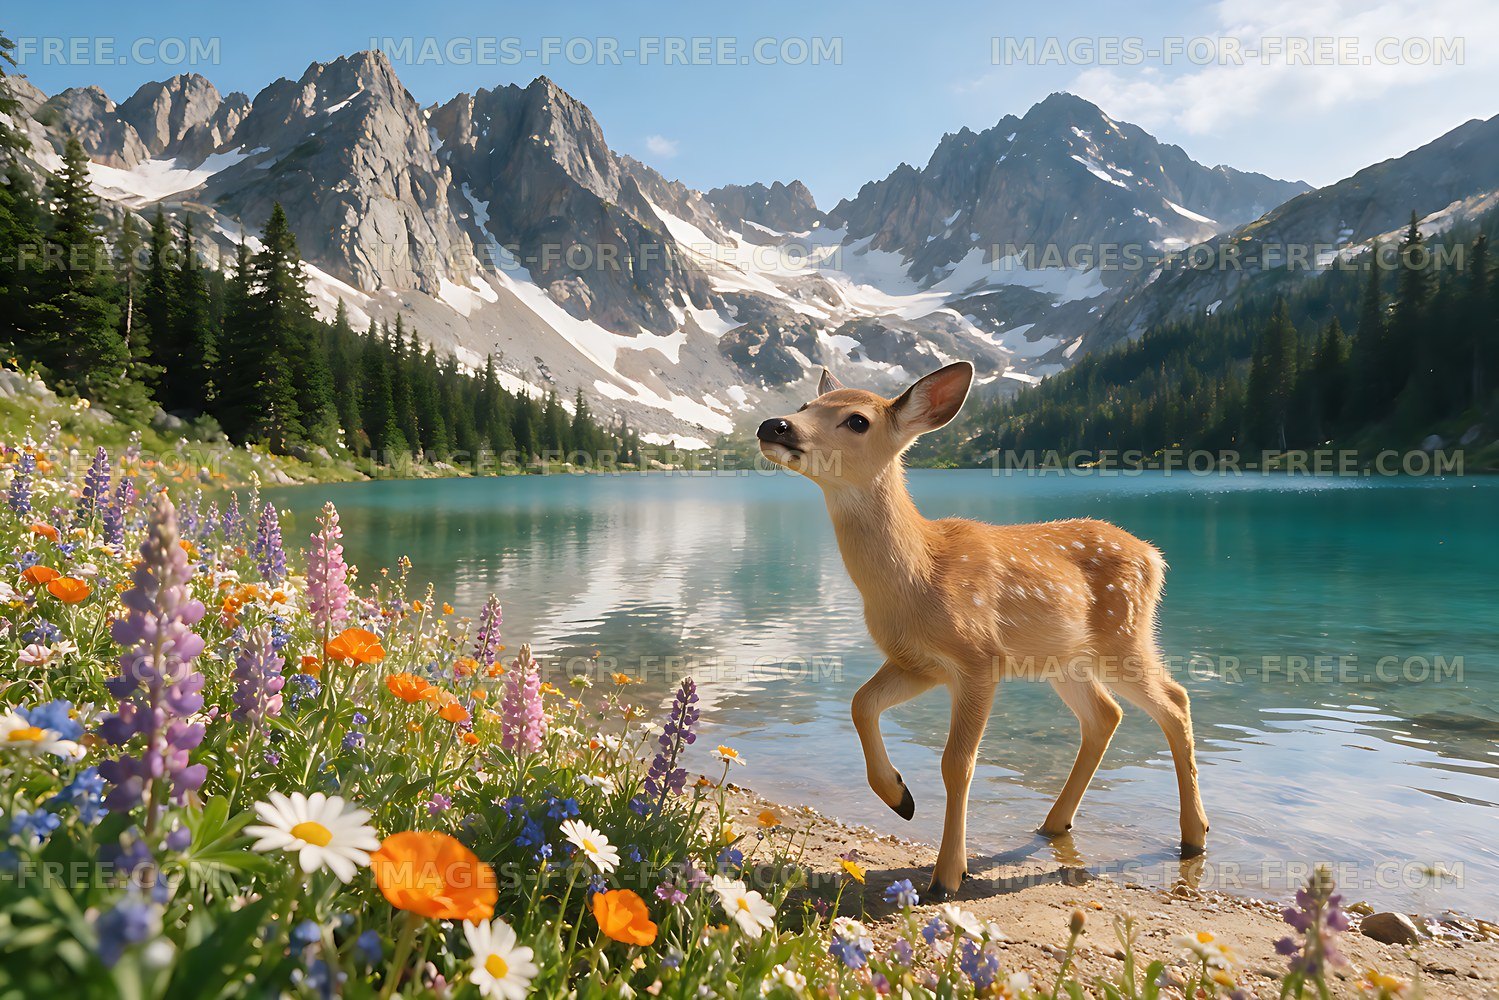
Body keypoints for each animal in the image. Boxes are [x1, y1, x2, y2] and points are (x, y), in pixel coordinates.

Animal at [756, 361, 1208, 900]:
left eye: (858, 420)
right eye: (806, 405)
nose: (774, 425)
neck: (920, 576)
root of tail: (1155, 557)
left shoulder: (979, 659)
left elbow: (957, 763)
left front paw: (948, 874)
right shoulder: (918, 662)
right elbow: (860, 703)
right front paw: (899, 796)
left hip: (1123, 637)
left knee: (1175, 701)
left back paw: (1194, 835)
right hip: (1064, 658)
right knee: (1106, 714)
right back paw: (1055, 823)